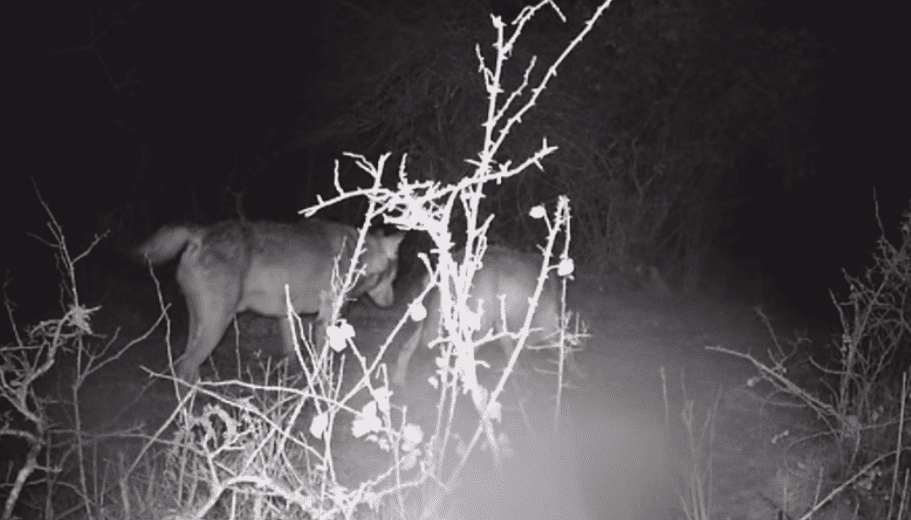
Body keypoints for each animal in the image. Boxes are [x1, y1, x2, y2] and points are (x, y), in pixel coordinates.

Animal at [134, 217, 402, 384]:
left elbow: (292, 355)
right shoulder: (325, 320)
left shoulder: (286, 314)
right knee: (184, 367)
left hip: (198, 324)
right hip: (217, 325)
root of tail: (200, 233)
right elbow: (322, 361)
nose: (392, 303)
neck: (358, 254)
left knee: (186, 369)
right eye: (393, 278)